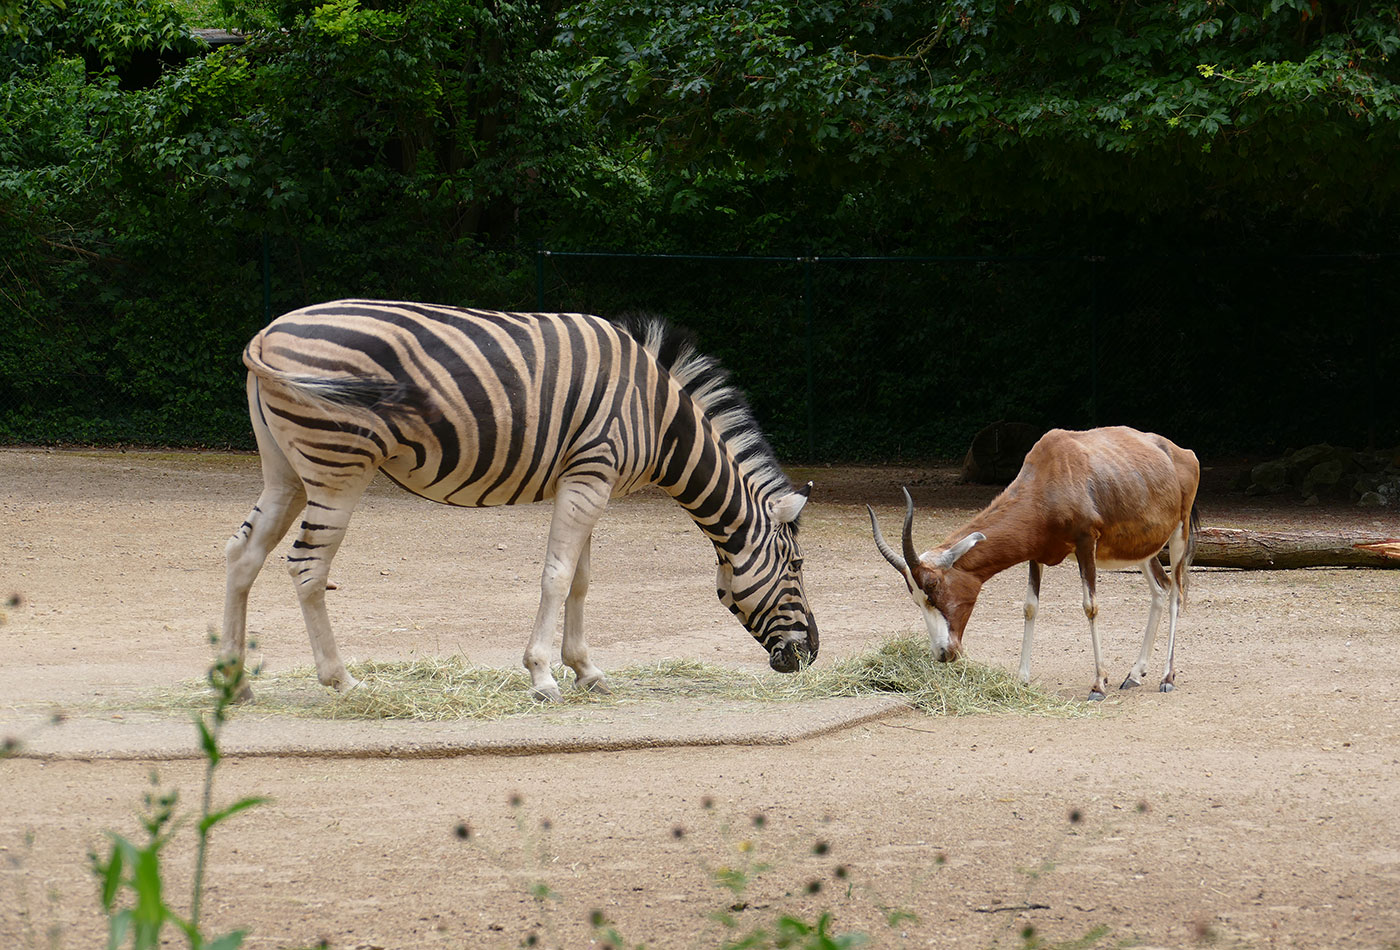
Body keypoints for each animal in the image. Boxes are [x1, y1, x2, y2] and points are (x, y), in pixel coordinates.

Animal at [221, 300, 817, 702]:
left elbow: (581, 581)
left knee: (242, 553)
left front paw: (586, 670)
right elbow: (557, 576)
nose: (810, 654)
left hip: (285, 471)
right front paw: (543, 675)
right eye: (796, 564)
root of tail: (266, 333)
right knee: (307, 566)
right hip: (338, 466)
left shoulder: (590, 480)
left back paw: (235, 682)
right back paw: (343, 681)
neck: (660, 418)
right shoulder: (590, 475)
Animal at [868, 428, 1198, 702]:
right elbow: (1030, 607)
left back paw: (1167, 678)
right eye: (915, 597)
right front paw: (1021, 679)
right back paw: (1134, 675)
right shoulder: (1035, 554)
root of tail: (1181, 452)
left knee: (1177, 593)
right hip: (1144, 549)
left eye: (933, 586)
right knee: (1161, 588)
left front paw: (1098, 685)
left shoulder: (1085, 543)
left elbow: (1090, 606)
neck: (1053, 471)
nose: (942, 653)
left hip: (1178, 534)